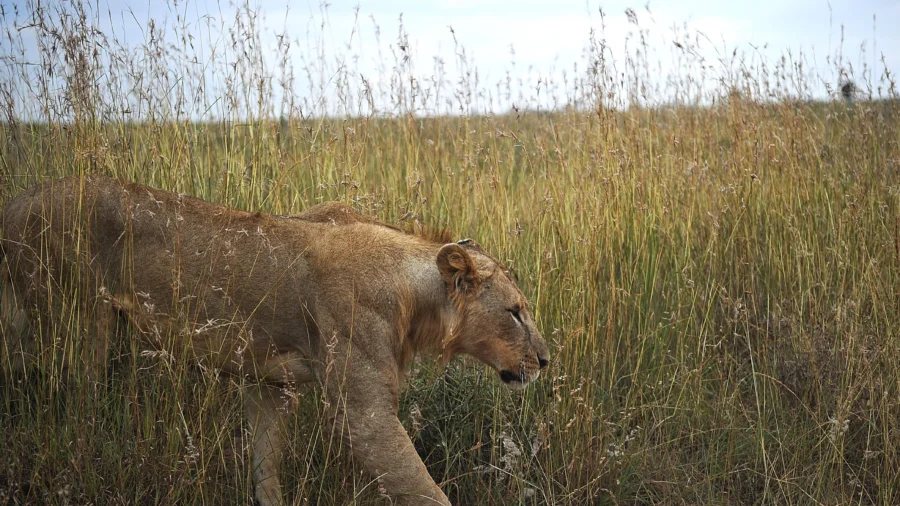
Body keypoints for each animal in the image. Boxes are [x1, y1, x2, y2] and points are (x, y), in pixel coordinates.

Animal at [0, 175, 548, 506]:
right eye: (515, 312)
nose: (545, 361)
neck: (414, 296)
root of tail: (18, 200)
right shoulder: (365, 415)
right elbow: (424, 489)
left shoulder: (270, 385)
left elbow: (265, 465)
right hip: (75, 327)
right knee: (71, 411)